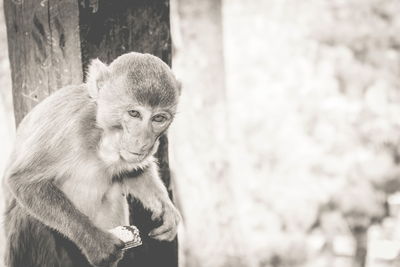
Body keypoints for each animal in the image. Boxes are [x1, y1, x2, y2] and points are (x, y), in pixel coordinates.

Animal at [1, 52, 181, 267]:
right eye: (134, 113)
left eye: (158, 118)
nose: (143, 141)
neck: (101, 134)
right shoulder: (70, 127)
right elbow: (23, 181)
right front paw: (96, 242)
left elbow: (135, 170)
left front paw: (166, 208)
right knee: (27, 214)